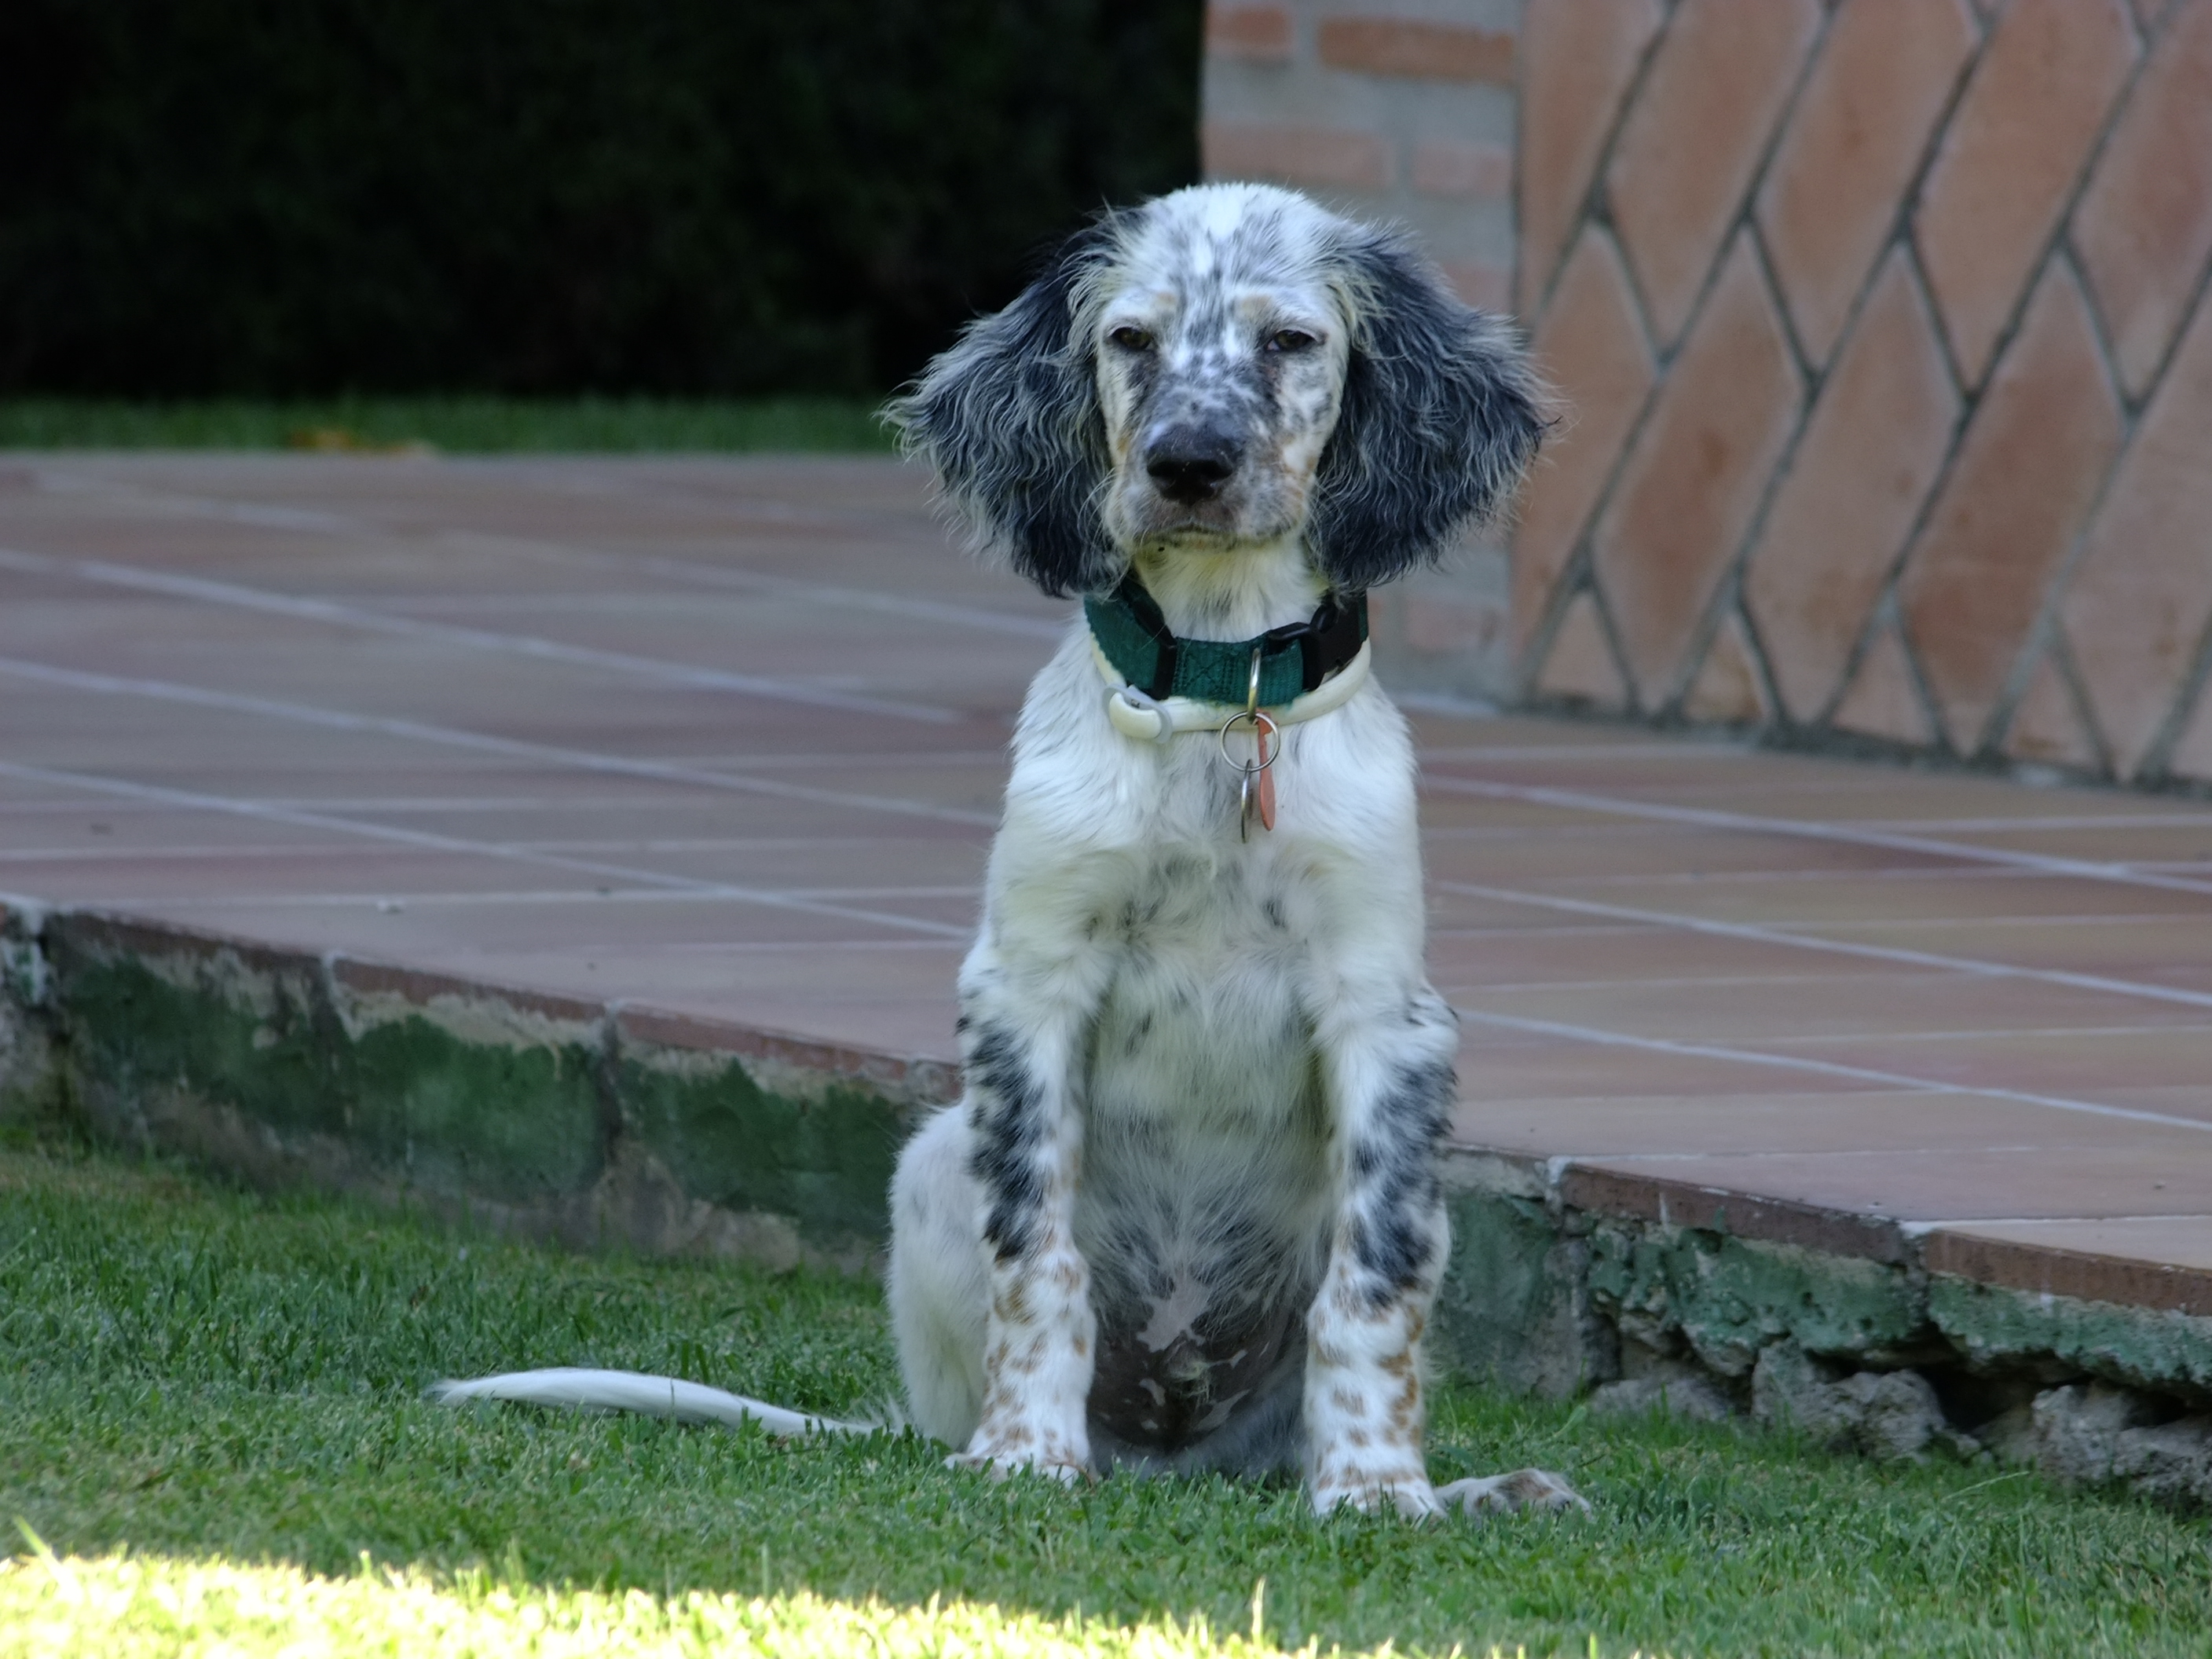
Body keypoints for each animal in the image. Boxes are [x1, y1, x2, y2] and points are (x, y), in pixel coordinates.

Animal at [435, 181, 1592, 1522]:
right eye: (1131, 340)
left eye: (1292, 342)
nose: (1187, 464)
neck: (1214, 697)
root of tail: (1172, 1465)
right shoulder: (1029, 983)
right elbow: (1038, 1256)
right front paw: (1025, 1455)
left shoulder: (1382, 1007)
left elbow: (1370, 1288)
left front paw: (1377, 1490)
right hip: (934, 1159)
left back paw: (1479, 1490)